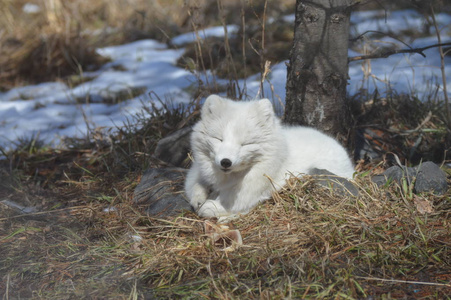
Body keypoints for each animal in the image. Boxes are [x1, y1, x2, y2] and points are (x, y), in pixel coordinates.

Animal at [185, 95, 356, 218]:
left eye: (245, 144)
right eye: (219, 139)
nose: (226, 162)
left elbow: (238, 201)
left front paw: (212, 206)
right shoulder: (198, 170)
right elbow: (194, 184)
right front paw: (198, 197)